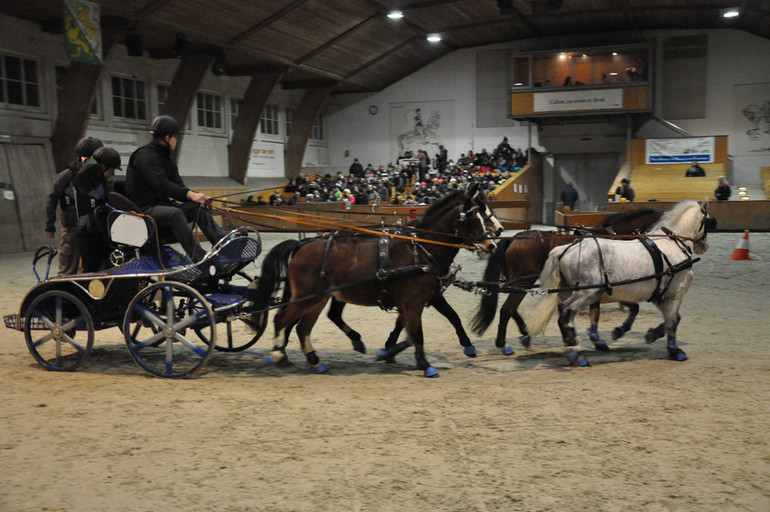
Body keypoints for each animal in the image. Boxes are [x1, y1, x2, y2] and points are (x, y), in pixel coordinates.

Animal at [246, 186, 498, 378]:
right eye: (474, 217)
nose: (492, 244)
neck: (421, 249)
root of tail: (301, 244)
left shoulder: (426, 297)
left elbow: (443, 319)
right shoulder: (414, 302)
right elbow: (416, 333)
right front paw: (424, 364)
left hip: (319, 298)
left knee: (303, 327)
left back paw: (315, 360)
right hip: (308, 297)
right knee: (282, 319)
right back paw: (279, 353)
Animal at [468, 206, 660, 354]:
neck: (614, 237)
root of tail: (514, 238)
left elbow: (595, 313)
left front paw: (595, 340)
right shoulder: (612, 287)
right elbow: (631, 308)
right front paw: (614, 334)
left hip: (518, 284)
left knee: (511, 309)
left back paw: (525, 335)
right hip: (522, 282)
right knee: (507, 309)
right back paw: (503, 343)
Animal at [528, 200, 712, 364]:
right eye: (708, 222)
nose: (704, 246)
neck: (673, 243)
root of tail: (565, 249)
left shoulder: (659, 294)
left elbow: (669, 318)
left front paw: (649, 334)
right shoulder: (675, 293)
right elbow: (672, 322)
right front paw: (675, 351)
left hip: (572, 291)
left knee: (566, 315)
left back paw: (571, 346)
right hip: (585, 292)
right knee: (566, 312)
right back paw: (575, 353)